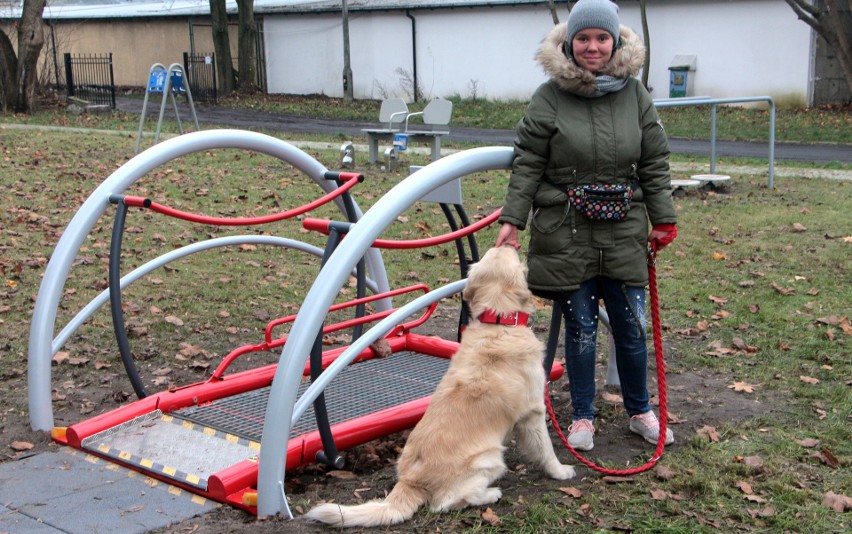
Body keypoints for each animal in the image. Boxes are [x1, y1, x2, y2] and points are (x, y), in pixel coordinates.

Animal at [302, 246, 576, 528]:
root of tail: (409, 482)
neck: (498, 322)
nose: (508, 244)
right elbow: (546, 449)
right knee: (445, 503)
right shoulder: (533, 412)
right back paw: (491, 493)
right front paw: (561, 471)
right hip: (490, 458)